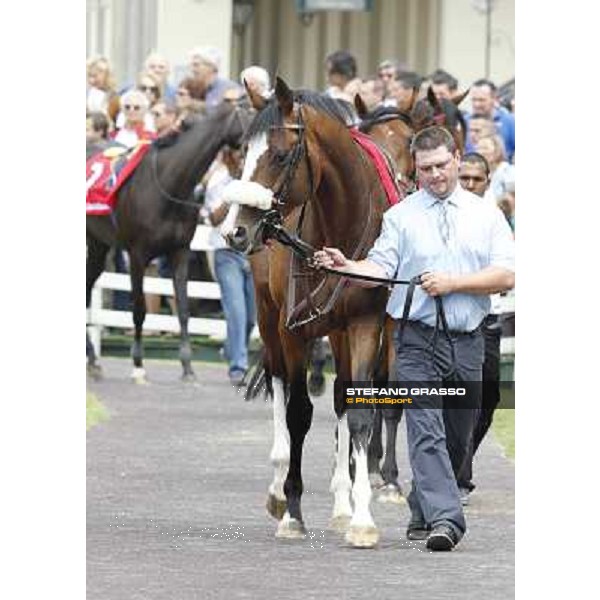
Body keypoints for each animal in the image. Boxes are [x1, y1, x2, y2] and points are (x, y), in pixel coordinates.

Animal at [86, 98, 251, 380]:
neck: (168, 182)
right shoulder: (138, 255)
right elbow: (139, 310)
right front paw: (138, 364)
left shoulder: (180, 251)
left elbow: (184, 310)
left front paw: (187, 368)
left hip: (98, 243)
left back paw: (93, 360)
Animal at [220, 79, 394, 548]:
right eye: (243, 152)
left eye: (280, 155)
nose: (234, 230)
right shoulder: (292, 328)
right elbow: (297, 411)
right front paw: (293, 511)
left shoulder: (365, 324)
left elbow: (358, 411)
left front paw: (361, 518)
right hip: (267, 315)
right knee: (280, 386)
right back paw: (279, 491)